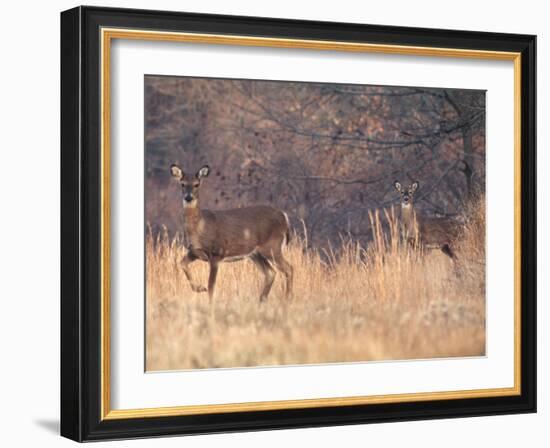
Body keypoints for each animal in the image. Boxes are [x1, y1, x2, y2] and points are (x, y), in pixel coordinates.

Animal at [171, 163, 294, 302]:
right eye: (182, 184)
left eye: (197, 184)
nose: (188, 197)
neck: (200, 228)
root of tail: (284, 216)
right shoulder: (194, 252)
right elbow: (182, 263)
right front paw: (199, 288)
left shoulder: (217, 253)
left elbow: (211, 285)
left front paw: (209, 301)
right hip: (255, 254)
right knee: (271, 272)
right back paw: (262, 300)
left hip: (272, 246)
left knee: (289, 268)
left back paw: (288, 299)